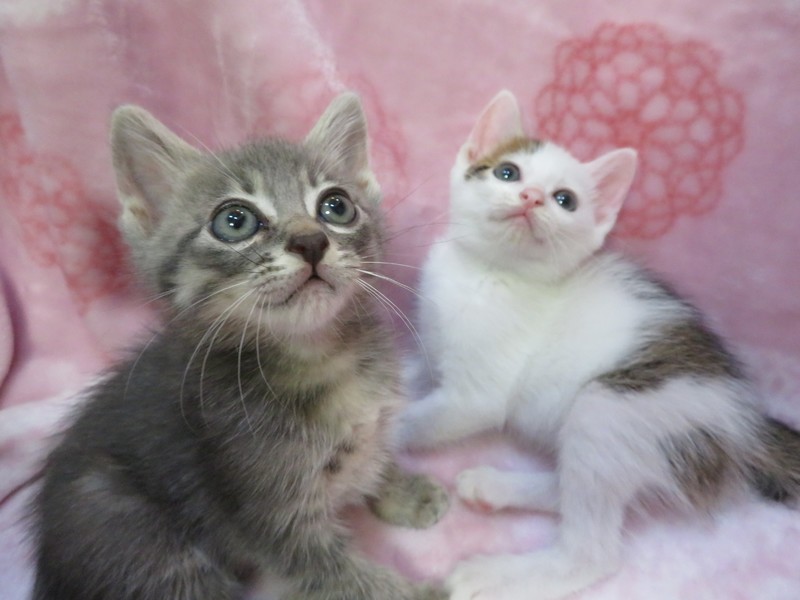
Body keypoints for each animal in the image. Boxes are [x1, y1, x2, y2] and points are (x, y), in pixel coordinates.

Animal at [30, 93, 449, 600]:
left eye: (337, 206)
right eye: (235, 220)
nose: (311, 241)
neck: (322, 359)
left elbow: (373, 458)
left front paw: (403, 489)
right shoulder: (266, 509)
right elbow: (336, 574)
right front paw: (420, 593)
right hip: (135, 536)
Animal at [397, 90, 800, 600]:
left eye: (565, 200)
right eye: (507, 172)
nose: (532, 197)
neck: (489, 272)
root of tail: (747, 423)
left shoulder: (475, 396)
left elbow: (414, 420)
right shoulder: (431, 350)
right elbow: (404, 372)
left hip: (611, 408)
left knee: (592, 552)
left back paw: (494, 574)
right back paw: (496, 487)